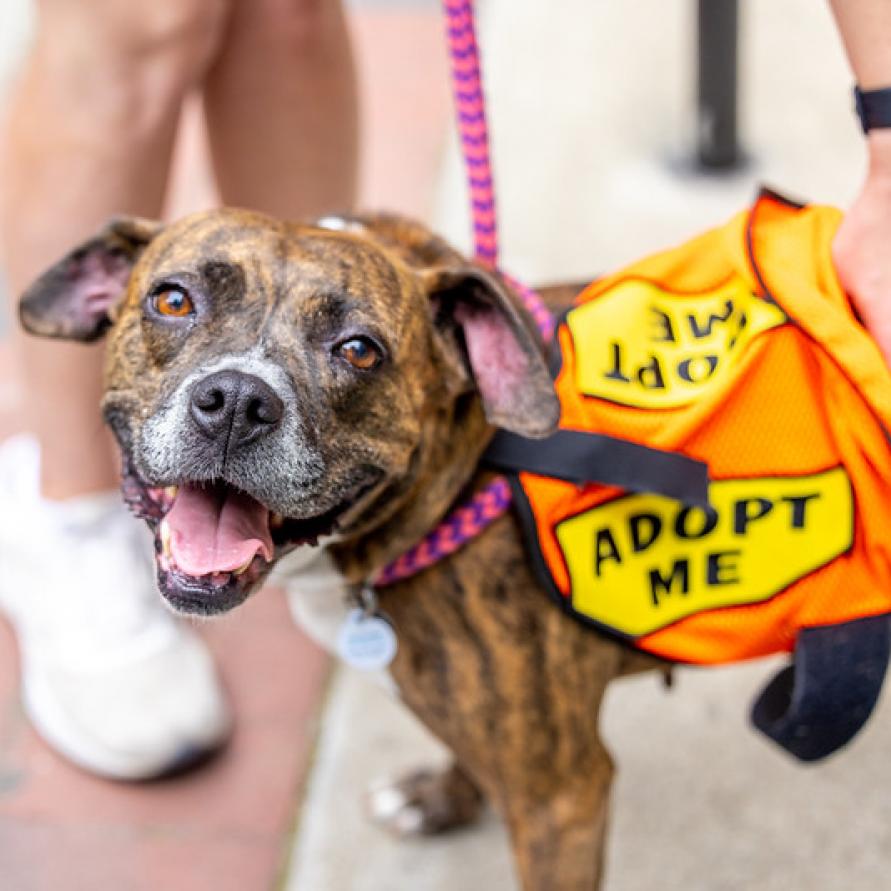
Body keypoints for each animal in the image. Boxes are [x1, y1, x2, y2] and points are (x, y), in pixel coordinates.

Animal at [19, 204, 884, 891]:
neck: (465, 468)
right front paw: (441, 795)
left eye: (358, 349)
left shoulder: (561, 797)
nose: (236, 400)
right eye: (173, 299)